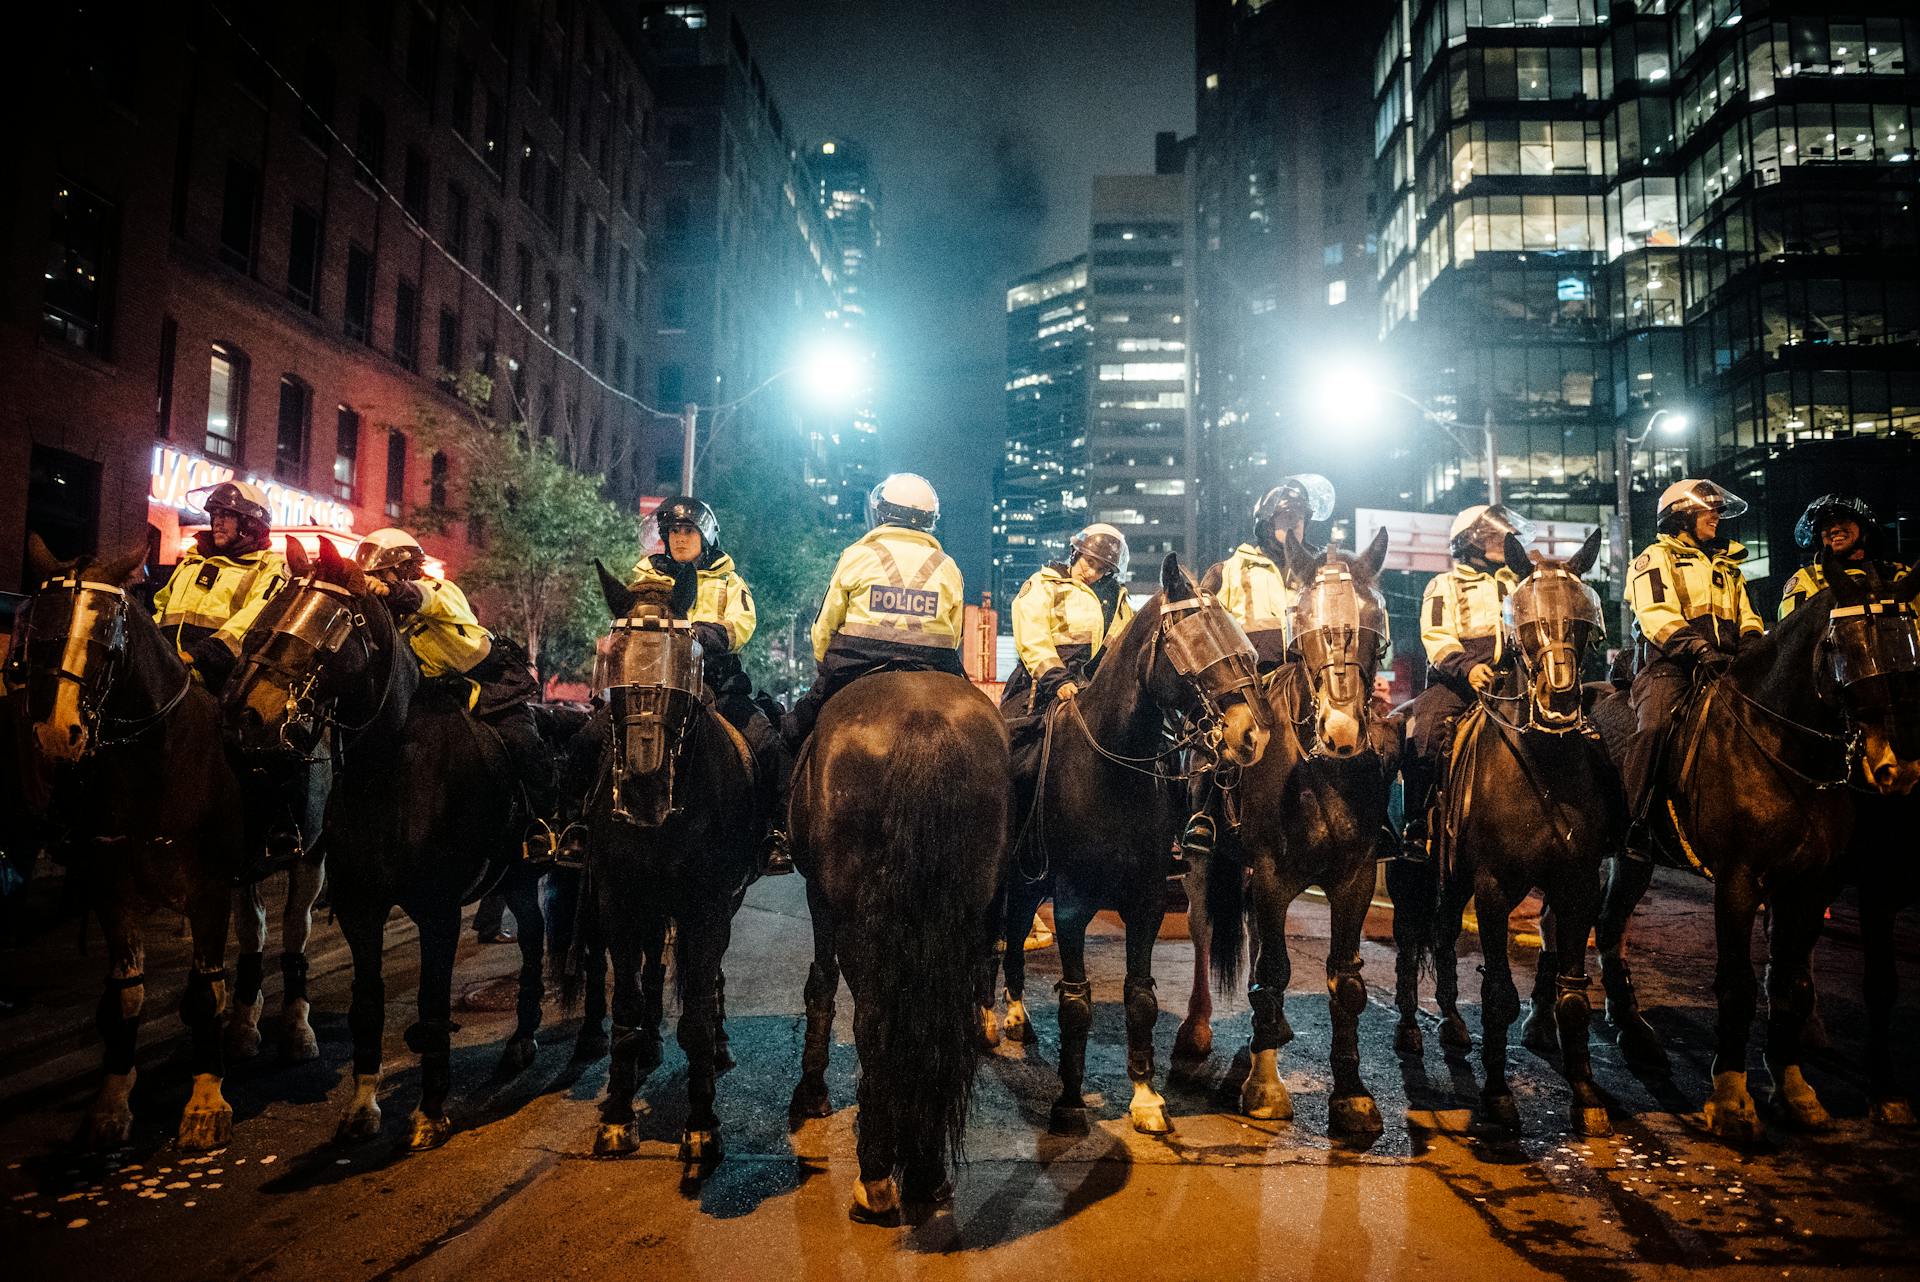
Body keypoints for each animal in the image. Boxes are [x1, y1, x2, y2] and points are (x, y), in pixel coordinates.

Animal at [6, 537, 243, 1143]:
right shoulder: (112, 890)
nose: (58, 735)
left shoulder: (210, 889)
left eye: (106, 644)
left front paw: (205, 1100)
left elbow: (207, 990)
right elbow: (125, 996)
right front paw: (112, 1102)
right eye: (38, 640)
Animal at [787, 667, 1013, 1228]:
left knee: (871, 1023)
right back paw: (926, 1171)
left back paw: (874, 1180)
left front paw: (812, 1091)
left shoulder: (819, 899)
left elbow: (820, 986)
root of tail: (922, 724)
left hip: (853, 918)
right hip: (968, 909)